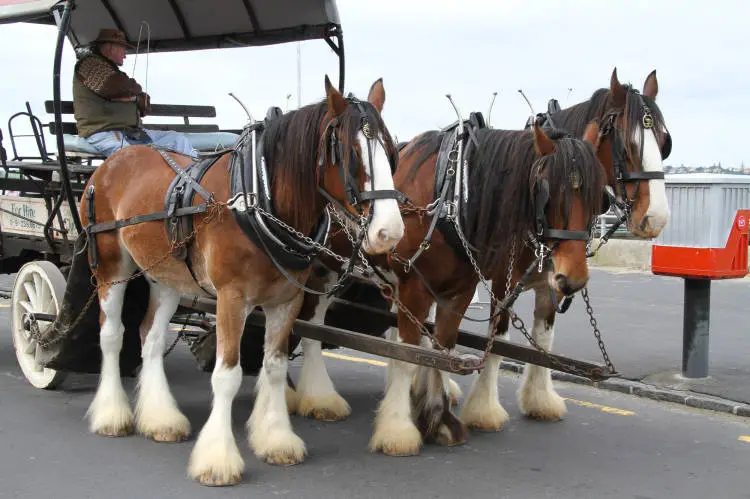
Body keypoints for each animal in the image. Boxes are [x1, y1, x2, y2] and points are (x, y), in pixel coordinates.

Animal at [78, 78, 402, 488]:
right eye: (350, 153)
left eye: (390, 150)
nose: (390, 232)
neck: (259, 197)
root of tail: (112, 161)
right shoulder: (231, 298)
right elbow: (227, 375)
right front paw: (218, 459)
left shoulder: (287, 300)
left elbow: (274, 367)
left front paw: (276, 438)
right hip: (110, 266)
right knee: (112, 334)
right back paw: (110, 414)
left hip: (166, 275)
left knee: (149, 336)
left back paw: (160, 418)